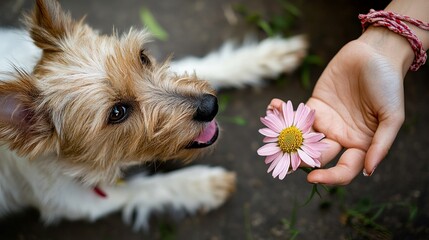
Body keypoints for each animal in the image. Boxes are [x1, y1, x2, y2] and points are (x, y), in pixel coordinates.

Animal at [0, 0, 308, 230]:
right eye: (117, 112)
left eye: (143, 57)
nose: (210, 106)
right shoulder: (75, 201)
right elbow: (148, 188)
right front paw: (203, 184)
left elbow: (197, 63)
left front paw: (263, 57)